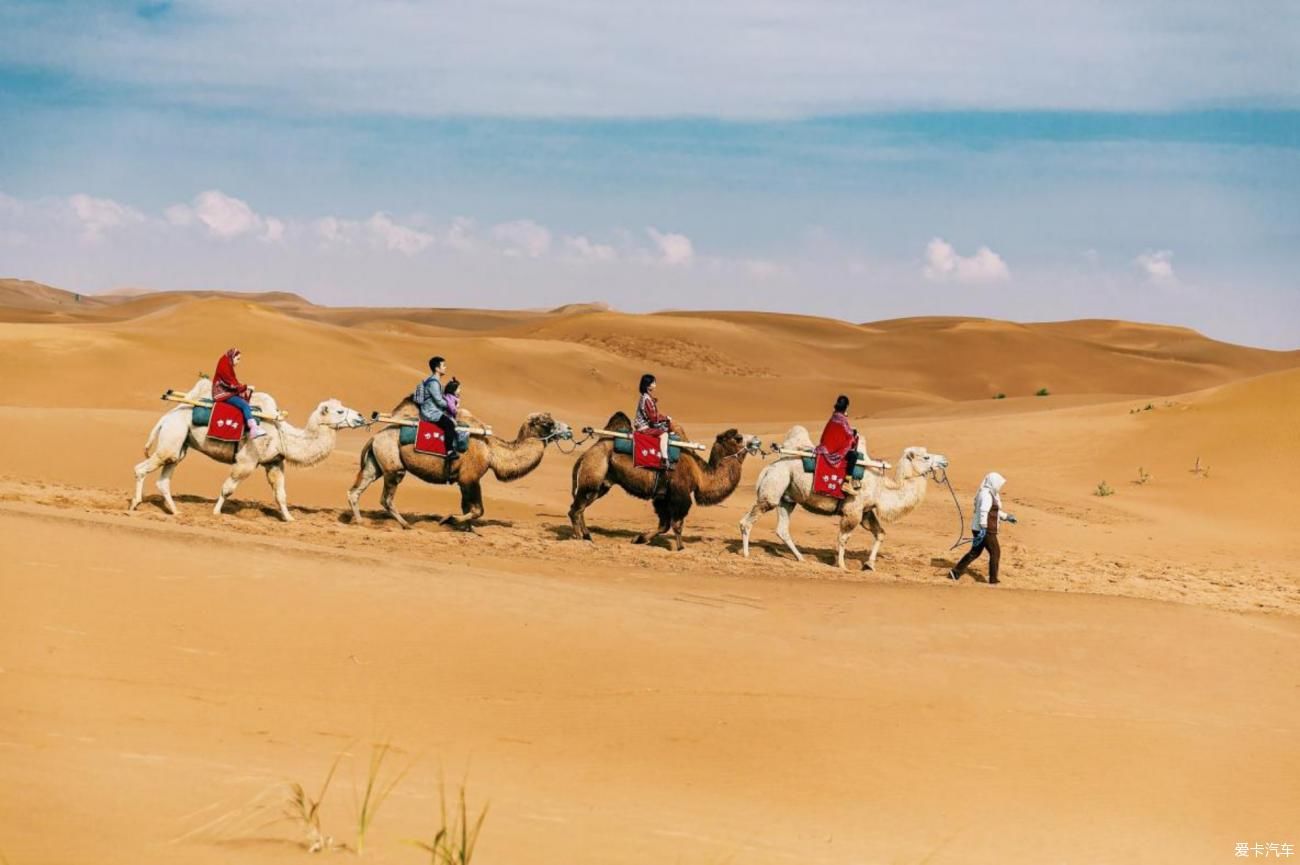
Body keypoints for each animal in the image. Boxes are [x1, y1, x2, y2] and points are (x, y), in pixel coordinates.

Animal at [129, 377, 366, 520]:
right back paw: (134, 505)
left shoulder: (274, 462)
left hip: (180, 444)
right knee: (141, 468)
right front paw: (216, 512)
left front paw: (289, 519)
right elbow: (227, 488)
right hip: (173, 436)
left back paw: (176, 511)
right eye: (339, 411)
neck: (281, 435)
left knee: (164, 478)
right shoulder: (247, 460)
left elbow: (280, 493)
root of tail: (165, 417)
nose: (361, 416)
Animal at [345, 395, 569, 530]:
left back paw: (359, 521)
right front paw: (449, 520)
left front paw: (466, 529)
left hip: (375, 463)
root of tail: (374, 437)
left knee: (355, 490)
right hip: (394, 466)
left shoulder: (463, 480)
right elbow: (478, 510)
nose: (569, 430)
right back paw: (406, 524)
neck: (491, 450)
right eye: (548, 423)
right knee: (386, 498)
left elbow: (466, 507)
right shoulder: (470, 477)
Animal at [569, 411, 759, 546]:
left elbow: (664, 525)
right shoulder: (679, 495)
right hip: (594, 471)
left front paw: (639, 539)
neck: (700, 474)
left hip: (603, 482)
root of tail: (589, 451)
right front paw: (681, 548)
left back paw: (587, 536)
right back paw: (579, 537)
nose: (757, 441)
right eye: (738, 438)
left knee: (582, 506)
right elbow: (676, 524)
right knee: (576, 509)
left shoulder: (662, 496)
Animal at [743, 424, 946, 569]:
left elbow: (880, 533)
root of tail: (769, 467)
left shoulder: (866, 511)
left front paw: (869, 565)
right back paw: (745, 554)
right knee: (749, 520)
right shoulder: (853, 510)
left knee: (782, 529)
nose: (945, 460)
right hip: (774, 487)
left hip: (787, 498)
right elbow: (843, 538)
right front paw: (841, 565)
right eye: (926, 457)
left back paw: (800, 558)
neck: (882, 488)